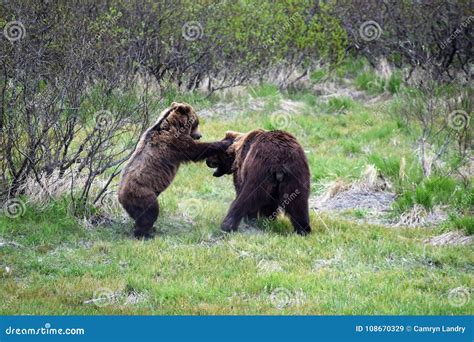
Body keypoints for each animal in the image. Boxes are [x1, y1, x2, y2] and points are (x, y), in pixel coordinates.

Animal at [117, 102, 231, 238]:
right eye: (196, 122)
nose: (199, 135)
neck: (176, 126)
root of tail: (120, 196)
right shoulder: (175, 143)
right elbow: (196, 150)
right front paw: (226, 142)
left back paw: (150, 229)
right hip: (143, 194)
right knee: (150, 212)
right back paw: (145, 233)